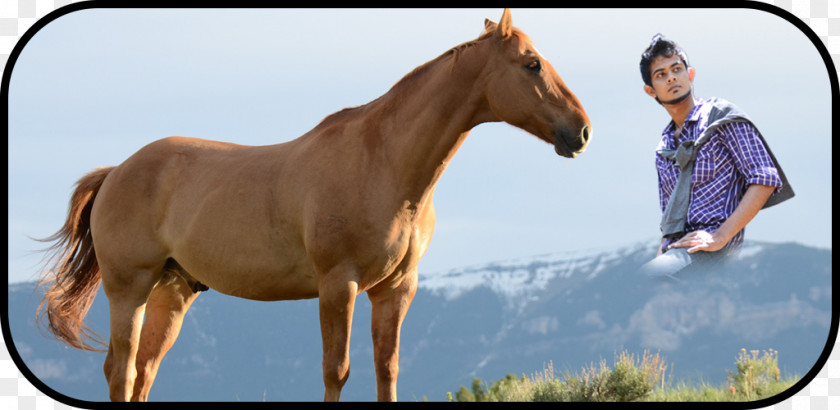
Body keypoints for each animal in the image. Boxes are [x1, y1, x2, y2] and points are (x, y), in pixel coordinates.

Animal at [37, 8, 592, 400]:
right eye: (532, 64)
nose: (582, 131)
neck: (383, 162)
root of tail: (117, 171)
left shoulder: (396, 289)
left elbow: (386, 369)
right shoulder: (338, 284)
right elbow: (336, 370)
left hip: (173, 291)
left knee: (144, 370)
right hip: (129, 288)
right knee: (120, 369)